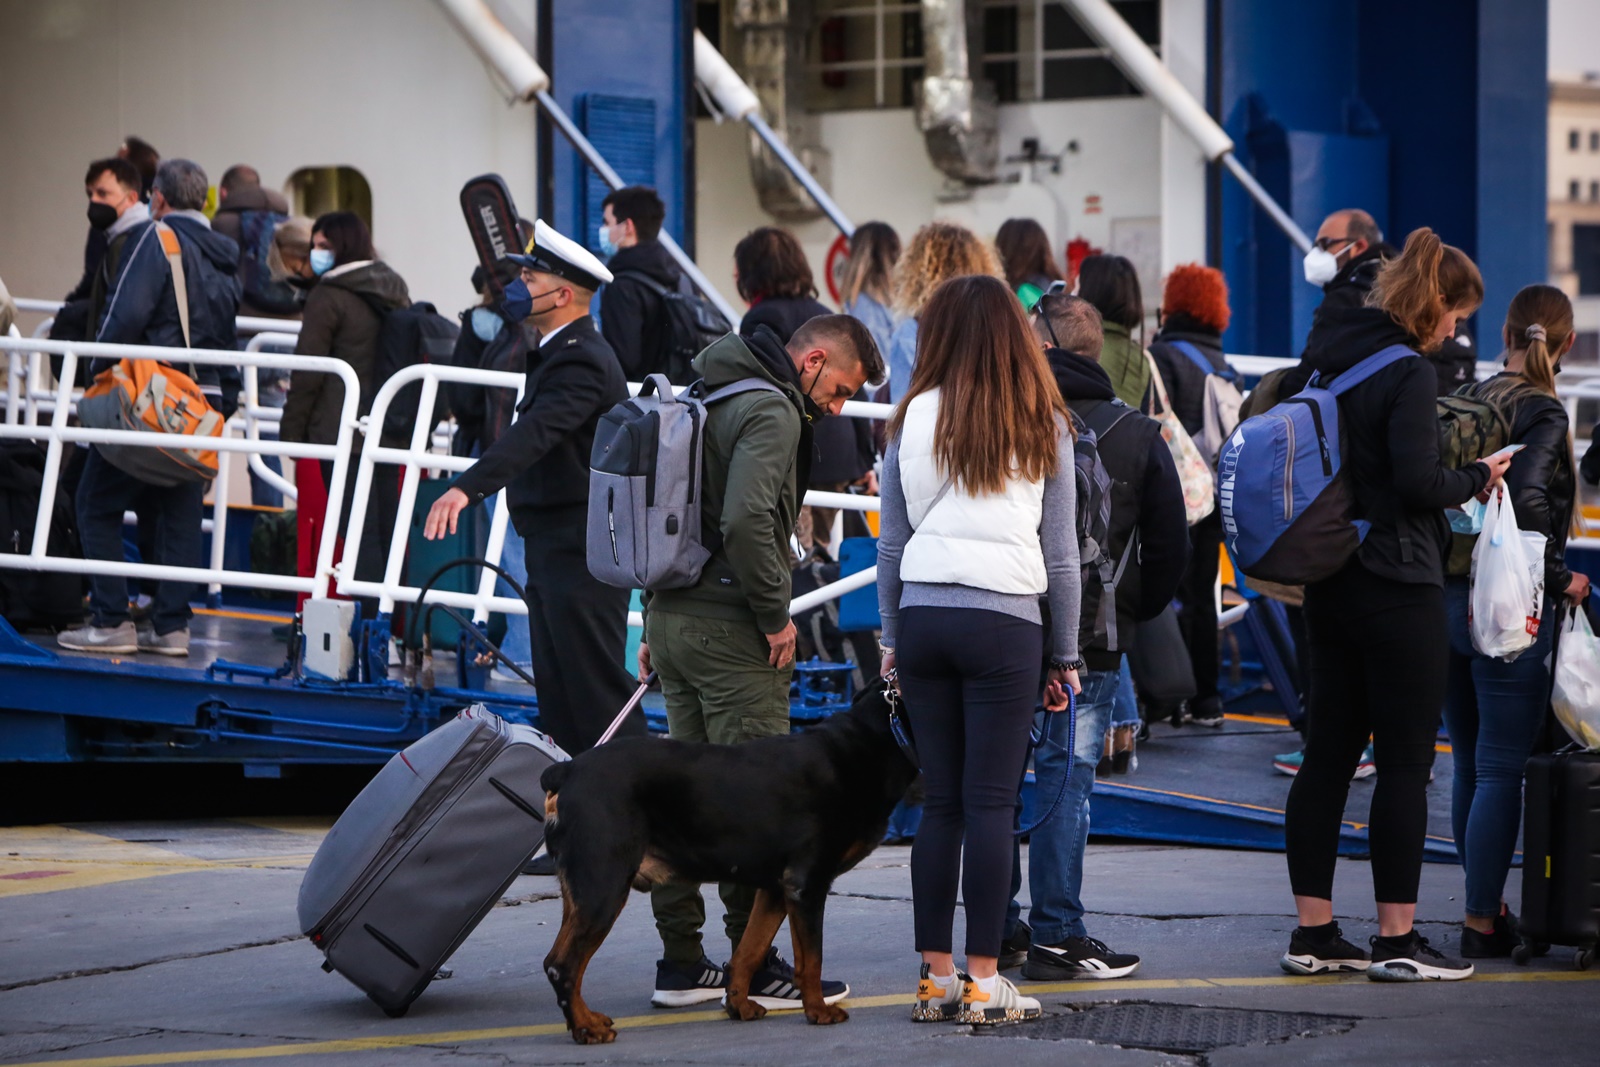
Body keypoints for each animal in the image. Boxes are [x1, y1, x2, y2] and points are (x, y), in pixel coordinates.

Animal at [537, 681, 915, 1049]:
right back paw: (586, 1028)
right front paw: (818, 1011)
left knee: (560, 960)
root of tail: (567, 770)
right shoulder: (807, 884)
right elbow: (811, 960)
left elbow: (749, 950)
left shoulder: (776, 889)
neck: (867, 745)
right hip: (604, 884)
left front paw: (739, 1005)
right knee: (563, 965)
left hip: (582, 892)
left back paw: (586, 1019)